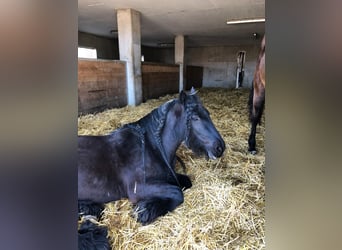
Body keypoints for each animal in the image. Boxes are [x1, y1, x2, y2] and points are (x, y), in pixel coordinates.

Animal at [79, 88, 226, 225]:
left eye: (208, 114)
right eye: (195, 118)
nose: (220, 147)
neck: (152, 147)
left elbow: (185, 182)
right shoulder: (138, 189)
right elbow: (177, 192)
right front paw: (145, 210)